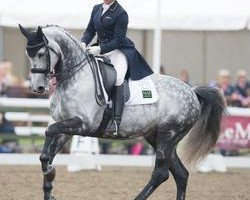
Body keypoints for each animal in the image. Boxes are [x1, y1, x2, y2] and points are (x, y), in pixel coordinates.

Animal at [19, 25, 225, 200]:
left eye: (41, 53)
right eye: (28, 55)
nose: (38, 87)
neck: (75, 76)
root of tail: (192, 91)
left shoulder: (82, 124)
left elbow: (49, 131)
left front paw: (50, 172)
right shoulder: (65, 127)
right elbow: (47, 151)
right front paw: (49, 178)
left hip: (168, 135)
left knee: (161, 173)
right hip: (158, 137)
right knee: (181, 174)